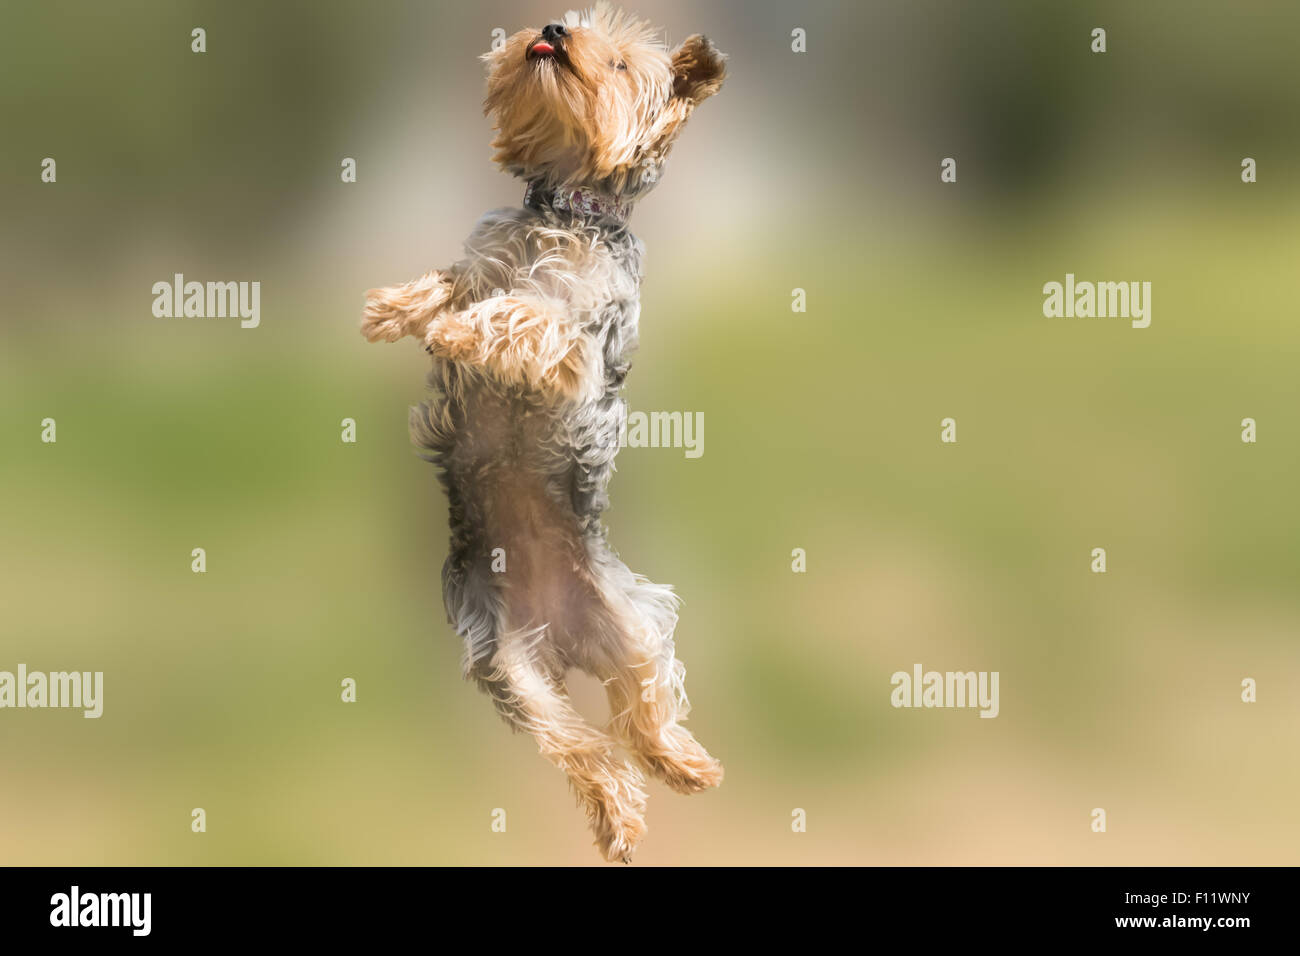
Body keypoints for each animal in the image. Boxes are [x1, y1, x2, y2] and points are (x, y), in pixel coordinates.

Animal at [358, 1, 722, 868]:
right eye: (576, 23)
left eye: (620, 64)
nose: (554, 29)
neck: (566, 208)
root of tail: (562, 635)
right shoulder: (483, 258)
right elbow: (455, 279)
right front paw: (395, 308)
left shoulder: (576, 345)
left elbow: (522, 313)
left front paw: (461, 332)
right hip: (506, 663)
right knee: (582, 744)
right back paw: (620, 814)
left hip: (635, 622)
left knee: (646, 705)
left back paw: (682, 765)